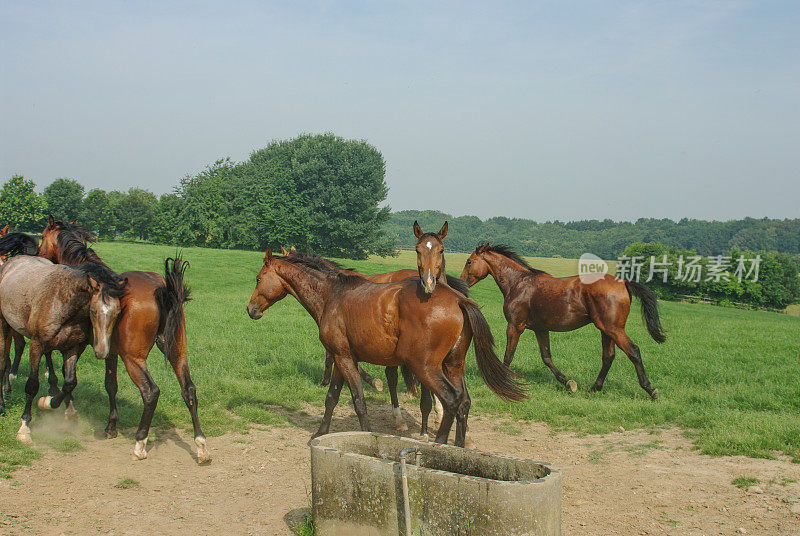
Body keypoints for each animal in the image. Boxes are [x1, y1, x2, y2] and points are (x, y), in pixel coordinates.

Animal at [0, 256, 127, 444]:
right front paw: (24, 428)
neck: (61, 302)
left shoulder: (71, 347)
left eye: (118, 312)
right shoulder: (36, 345)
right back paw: (2, 406)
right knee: (3, 364)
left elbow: (69, 382)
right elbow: (32, 385)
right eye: (93, 311)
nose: (102, 352)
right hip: (5, 328)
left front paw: (50, 403)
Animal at [247, 249, 528, 446]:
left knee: (451, 401)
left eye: (259, 278)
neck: (332, 295)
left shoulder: (344, 359)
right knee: (464, 403)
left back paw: (438, 444)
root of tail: (459, 300)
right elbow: (331, 398)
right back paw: (457, 447)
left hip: (426, 368)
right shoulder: (342, 357)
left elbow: (358, 400)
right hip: (453, 365)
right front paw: (320, 433)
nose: (250, 309)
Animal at [460, 243, 664, 398]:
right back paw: (594, 388)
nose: (461, 283)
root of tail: (624, 283)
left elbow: (508, 355)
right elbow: (547, 358)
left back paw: (650, 389)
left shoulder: (515, 326)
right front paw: (568, 383)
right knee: (608, 357)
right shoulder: (540, 329)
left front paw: (501, 383)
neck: (518, 284)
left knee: (633, 351)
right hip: (606, 330)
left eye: (469, 261)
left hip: (613, 328)